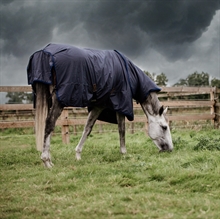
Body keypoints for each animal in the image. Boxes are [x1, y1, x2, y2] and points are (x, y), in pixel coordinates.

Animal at [26, 44, 173, 168]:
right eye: (164, 127)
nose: (171, 149)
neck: (130, 76)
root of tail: (44, 53)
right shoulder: (120, 105)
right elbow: (122, 129)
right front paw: (124, 153)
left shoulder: (99, 106)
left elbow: (87, 128)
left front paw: (78, 154)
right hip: (58, 101)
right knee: (49, 124)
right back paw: (46, 161)